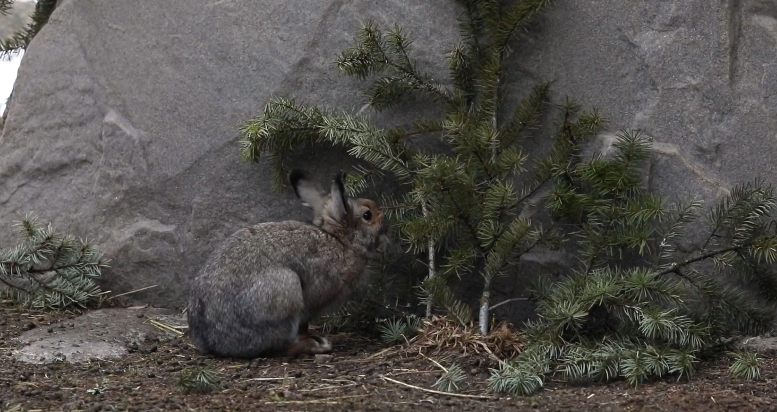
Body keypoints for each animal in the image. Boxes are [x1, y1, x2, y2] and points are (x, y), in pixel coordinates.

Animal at [186, 169, 384, 358]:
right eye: (367, 215)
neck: (339, 239)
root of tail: (212, 341)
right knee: (281, 345)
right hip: (284, 290)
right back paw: (317, 345)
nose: (384, 218)